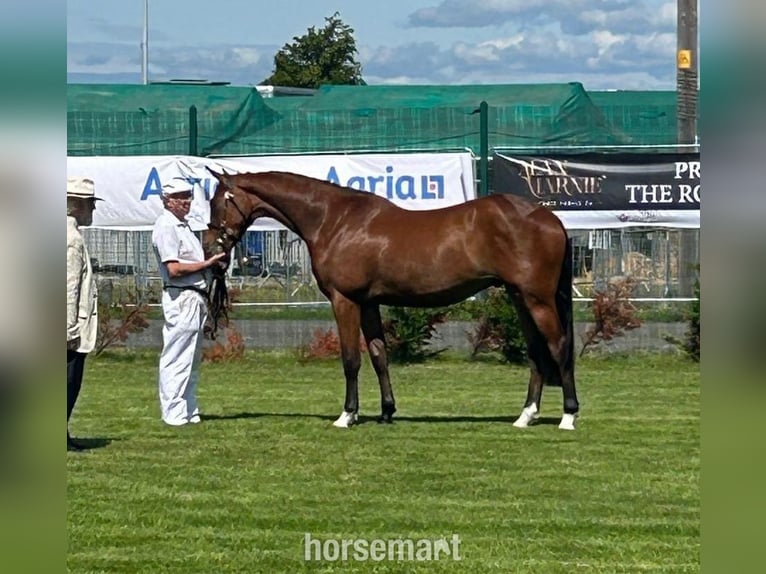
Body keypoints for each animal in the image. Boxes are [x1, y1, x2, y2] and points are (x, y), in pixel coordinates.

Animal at [201, 170, 579, 430]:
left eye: (217, 202)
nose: (210, 247)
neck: (334, 220)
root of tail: (551, 219)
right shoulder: (369, 303)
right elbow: (379, 355)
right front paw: (386, 411)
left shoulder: (345, 300)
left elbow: (351, 359)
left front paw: (347, 415)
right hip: (519, 297)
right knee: (536, 352)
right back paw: (526, 415)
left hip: (537, 299)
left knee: (558, 346)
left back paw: (568, 415)